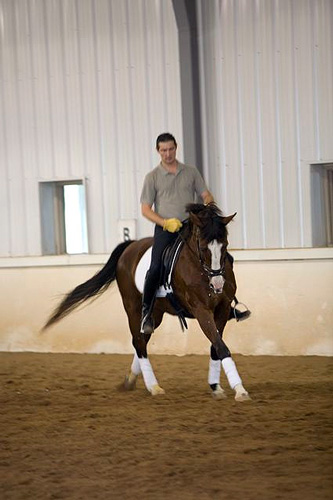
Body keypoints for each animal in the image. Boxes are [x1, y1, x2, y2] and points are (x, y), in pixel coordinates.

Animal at [43, 203, 249, 402]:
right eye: (204, 247)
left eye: (225, 245)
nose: (218, 284)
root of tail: (131, 245)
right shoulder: (201, 310)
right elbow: (221, 346)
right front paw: (240, 390)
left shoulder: (222, 309)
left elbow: (216, 347)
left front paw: (216, 387)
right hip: (133, 307)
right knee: (139, 343)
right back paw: (153, 386)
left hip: (154, 313)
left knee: (142, 339)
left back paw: (130, 380)